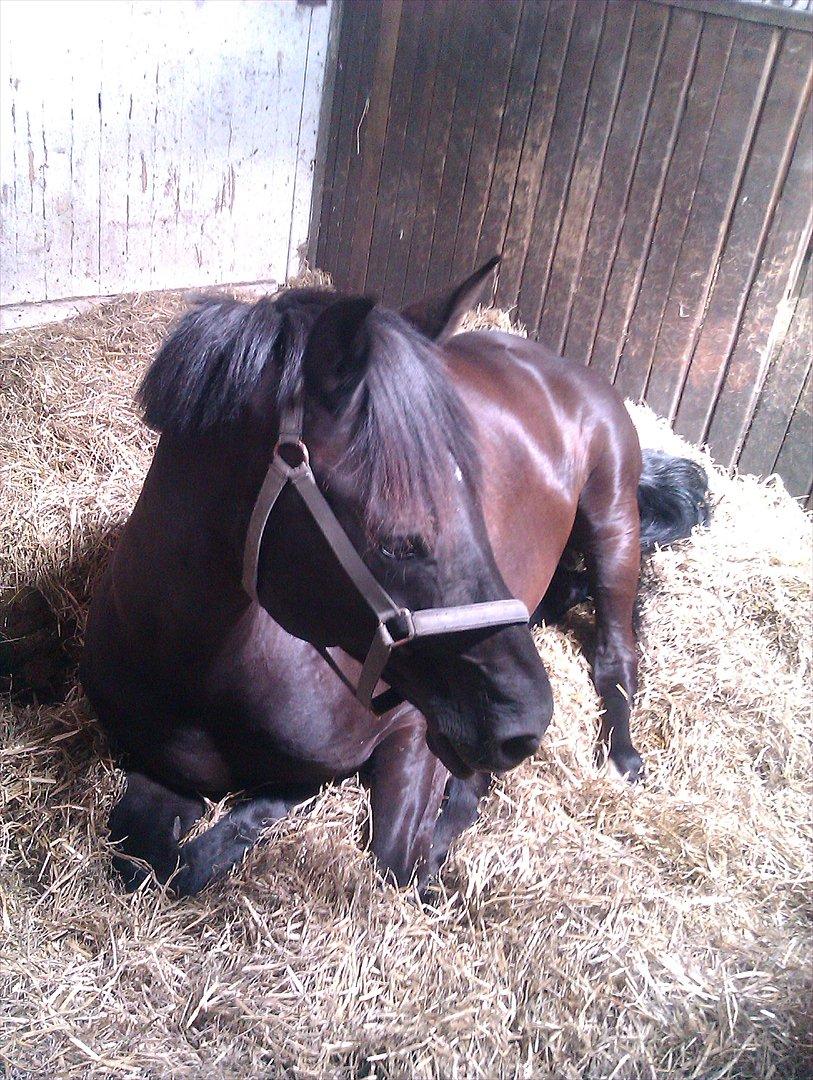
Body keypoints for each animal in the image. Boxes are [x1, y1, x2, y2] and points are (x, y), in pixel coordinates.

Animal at [79, 257, 708, 898]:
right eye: (397, 538)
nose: (528, 724)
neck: (205, 672)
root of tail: (559, 363)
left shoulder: (411, 726)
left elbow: (398, 862)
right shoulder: (157, 769)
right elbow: (143, 856)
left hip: (612, 522)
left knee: (615, 650)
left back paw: (620, 755)